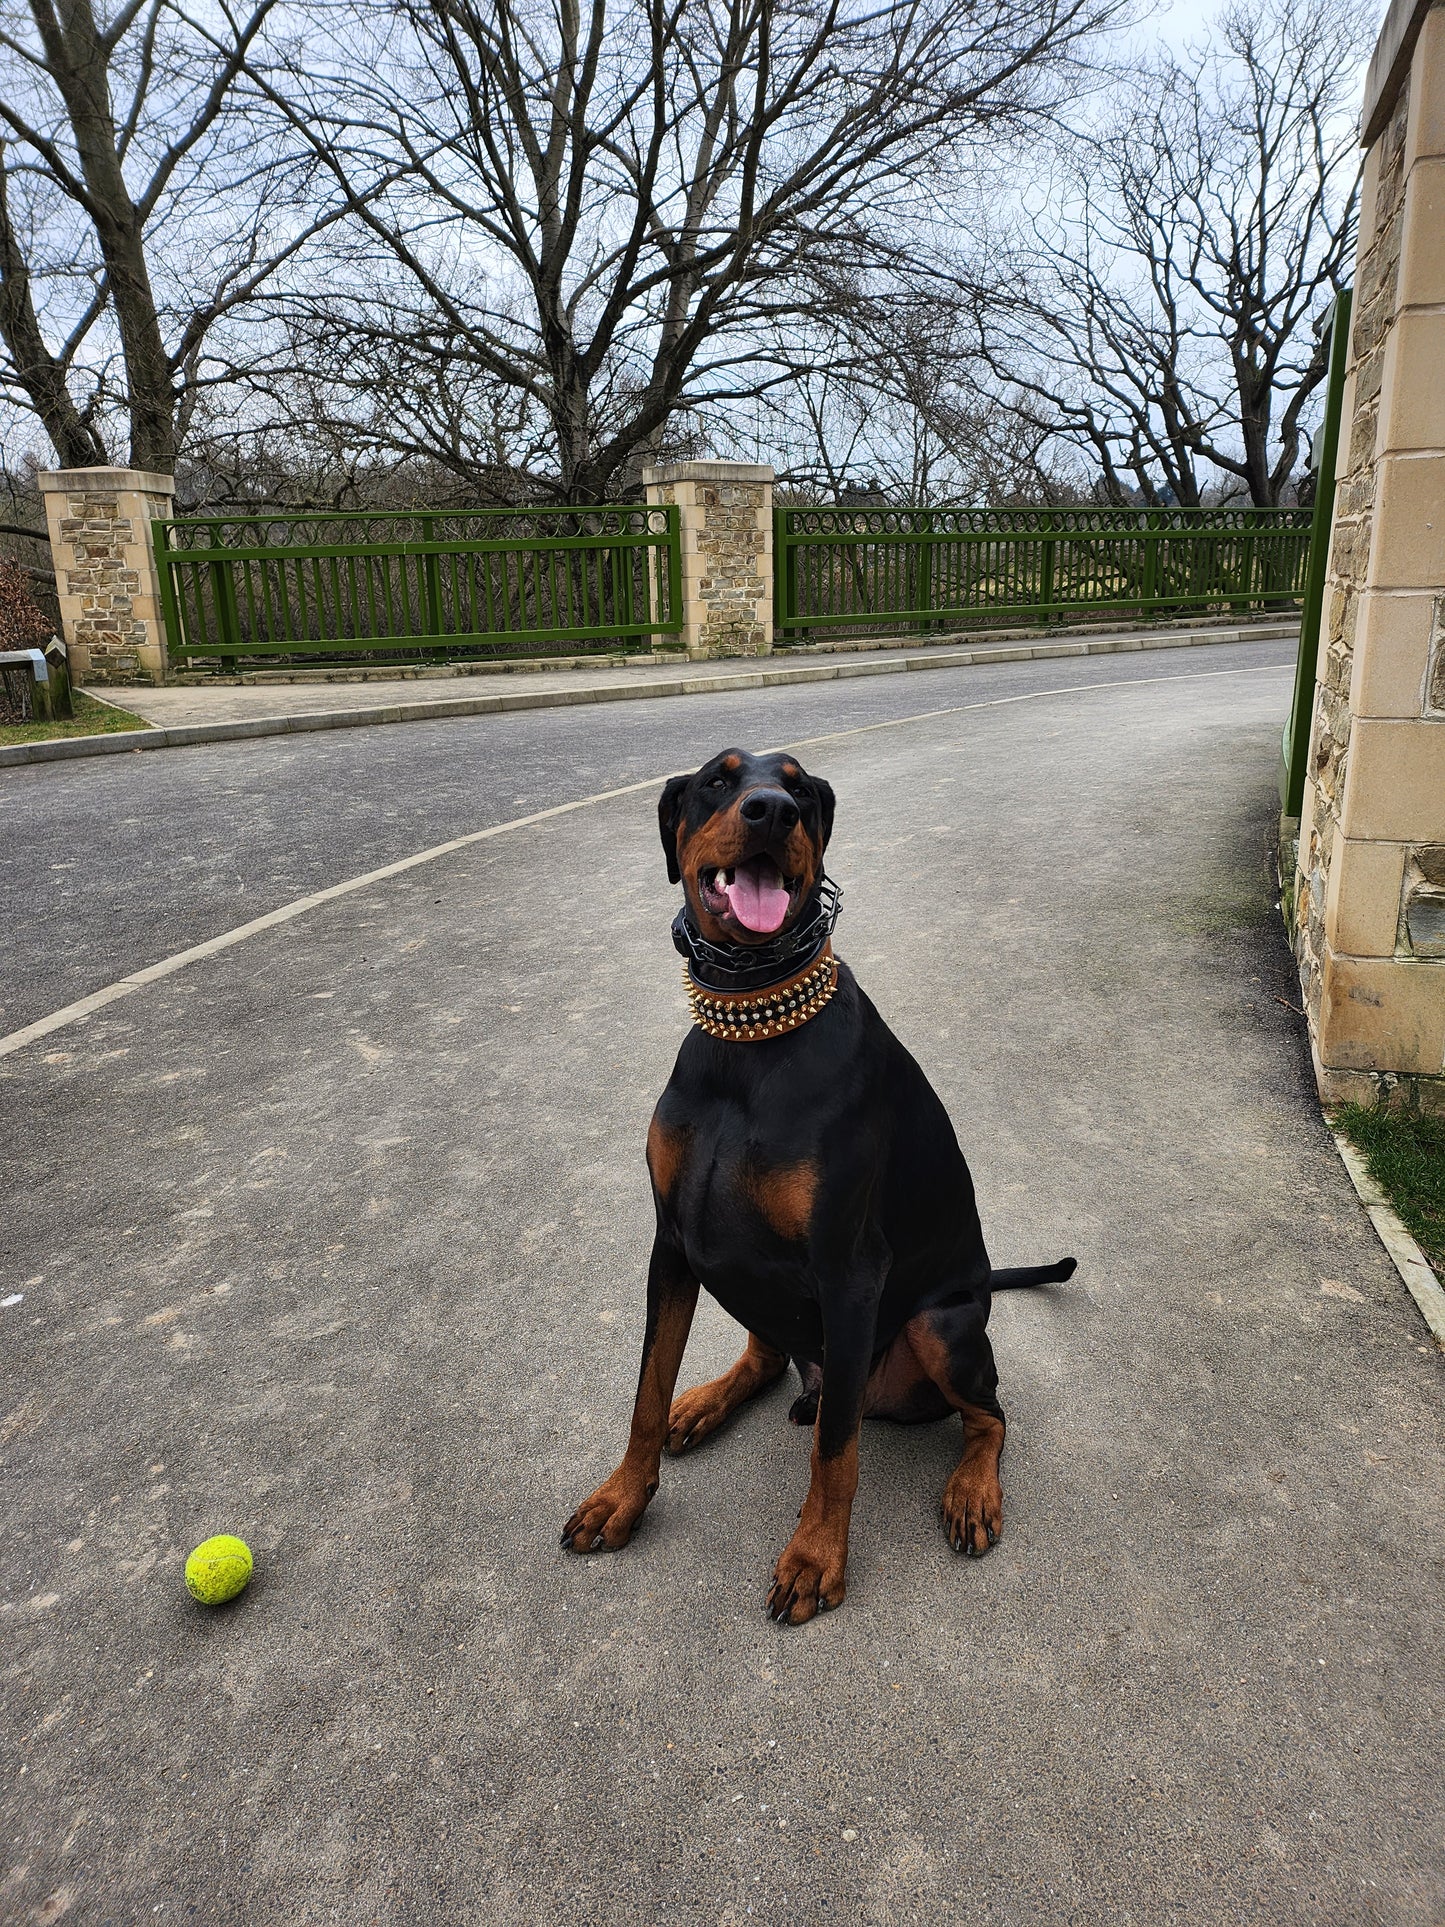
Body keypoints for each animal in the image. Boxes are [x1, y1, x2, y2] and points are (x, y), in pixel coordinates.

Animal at [566, 743, 1078, 1618]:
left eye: (800, 788)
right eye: (717, 780)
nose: (772, 811)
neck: (747, 1042)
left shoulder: (848, 1270)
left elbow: (836, 1448)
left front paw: (814, 1557)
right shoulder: (672, 1242)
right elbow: (644, 1392)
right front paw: (619, 1498)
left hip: (938, 1326)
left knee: (988, 1414)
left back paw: (971, 1490)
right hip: (733, 1267)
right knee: (769, 1357)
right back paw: (706, 1400)